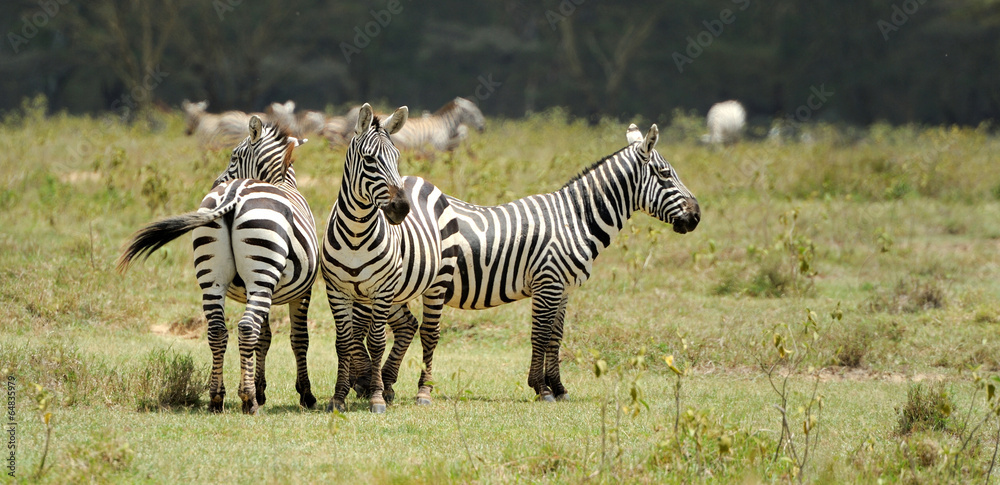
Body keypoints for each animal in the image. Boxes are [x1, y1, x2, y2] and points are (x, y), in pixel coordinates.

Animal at [117, 115, 320, 414]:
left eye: (234, 156)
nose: (214, 181)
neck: (281, 182)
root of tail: (236, 191)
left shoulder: (267, 291)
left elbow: (265, 338)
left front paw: (261, 389)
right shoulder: (302, 291)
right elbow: (298, 339)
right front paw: (305, 395)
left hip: (213, 276)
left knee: (217, 330)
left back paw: (217, 398)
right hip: (261, 275)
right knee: (246, 328)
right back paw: (248, 400)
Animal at [321, 103, 459, 413]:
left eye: (397, 158)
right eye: (369, 159)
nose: (401, 208)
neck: (355, 234)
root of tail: (420, 179)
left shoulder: (381, 290)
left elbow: (376, 341)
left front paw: (376, 397)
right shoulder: (337, 290)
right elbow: (343, 342)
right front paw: (339, 396)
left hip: (437, 282)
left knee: (430, 333)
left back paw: (423, 391)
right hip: (398, 290)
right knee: (408, 324)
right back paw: (388, 380)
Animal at [372, 123, 701, 403]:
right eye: (665, 174)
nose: (696, 216)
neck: (575, 219)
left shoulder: (563, 288)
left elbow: (556, 337)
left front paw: (559, 388)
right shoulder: (549, 282)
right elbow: (540, 336)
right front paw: (541, 388)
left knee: (403, 324)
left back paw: (383, 384)